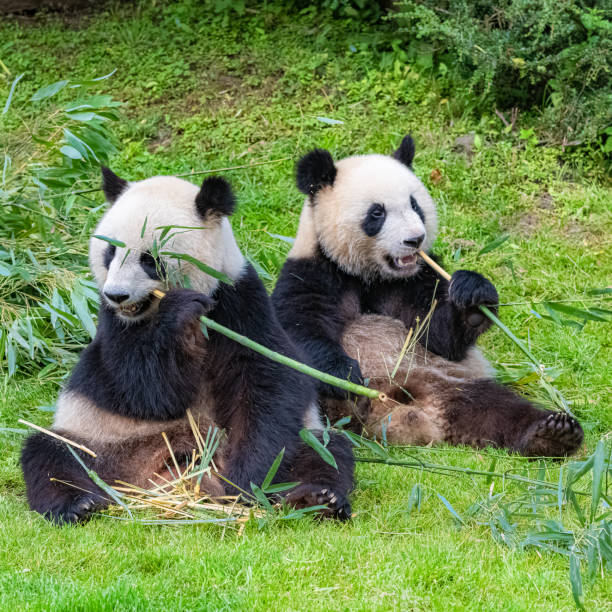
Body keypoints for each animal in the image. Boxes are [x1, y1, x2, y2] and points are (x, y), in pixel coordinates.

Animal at [21, 170, 354, 524]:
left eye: (149, 260)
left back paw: (318, 498)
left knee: (326, 452)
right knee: (53, 455)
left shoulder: (238, 301)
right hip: (103, 441)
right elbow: (143, 389)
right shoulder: (113, 325)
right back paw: (76, 504)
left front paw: (246, 479)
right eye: (109, 253)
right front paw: (177, 313)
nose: (117, 295)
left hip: (303, 438)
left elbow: (266, 381)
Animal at [272, 136, 584, 456]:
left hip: (448, 381)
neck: (369, 275)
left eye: (415, 205)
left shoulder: (418, 280)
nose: (415, 239)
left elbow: (440, 334)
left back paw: (552, 433)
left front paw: (473, 299)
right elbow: (301, 332)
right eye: (377, 213)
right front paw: (344, 375)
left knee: (496, 408)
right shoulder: (310, 273)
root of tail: (405, 412)